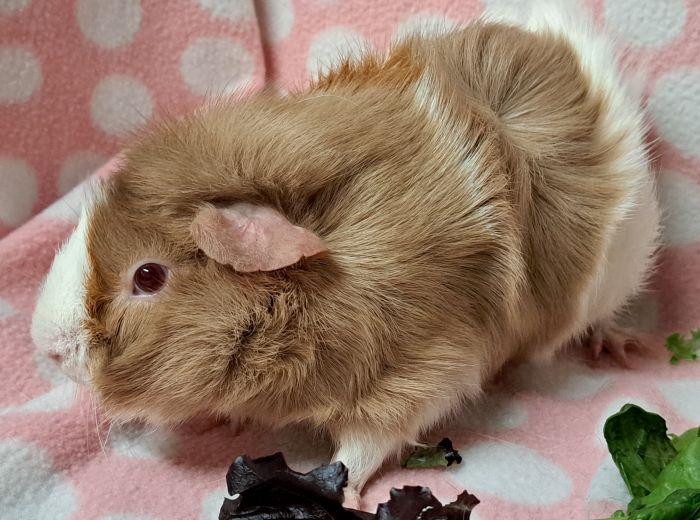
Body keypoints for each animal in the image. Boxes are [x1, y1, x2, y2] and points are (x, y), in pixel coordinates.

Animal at [31, 0, 659, 509]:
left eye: (148, 275)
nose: (45, 347)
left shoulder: (423, 374)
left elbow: (362, 446)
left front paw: (346, 495)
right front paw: (227, 426)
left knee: (605, 315)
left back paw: (622, 348)